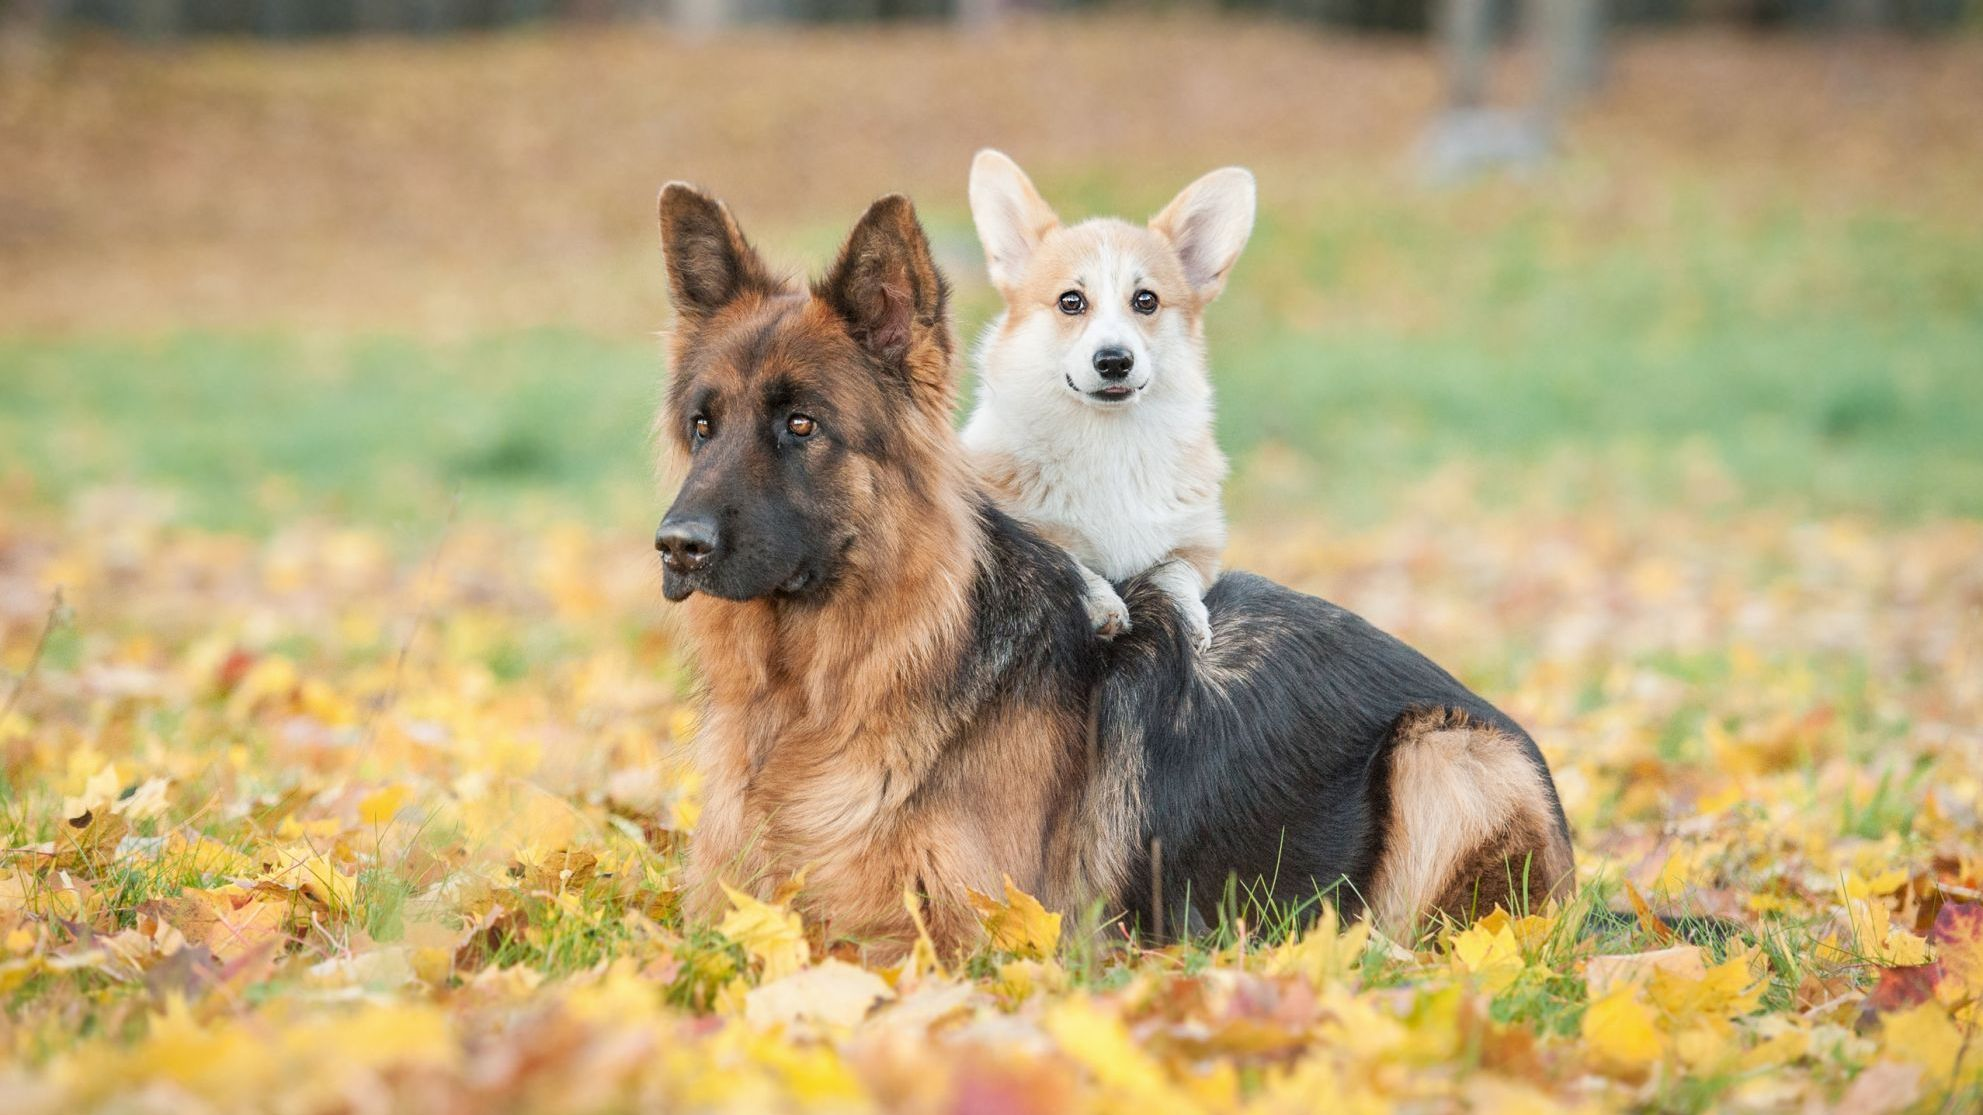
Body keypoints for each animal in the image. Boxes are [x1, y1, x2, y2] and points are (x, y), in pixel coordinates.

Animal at [959, 148, 1253, 650]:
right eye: (1071, 301)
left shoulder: (1198, 543)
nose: (1114, 361)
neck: (1109, 440)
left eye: (1146, 300)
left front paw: (1188, 618)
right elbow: (1070, 559)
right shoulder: (1018, 534)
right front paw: (1102, 604)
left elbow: (1174, 572)